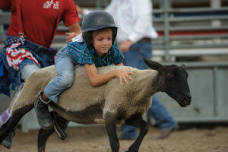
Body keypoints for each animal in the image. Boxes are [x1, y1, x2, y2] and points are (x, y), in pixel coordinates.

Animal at [0, 59, 191, 152]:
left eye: (186, 75)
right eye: (171, 75)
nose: (188, 99)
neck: (138, 85)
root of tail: (33, 73)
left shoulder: (129, 115)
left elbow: (144, 128)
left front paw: (132, 149)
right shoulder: (110, 112)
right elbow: (114, 144)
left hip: (61, 113)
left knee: (42, 135)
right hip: (25, 100)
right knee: (6, 128)